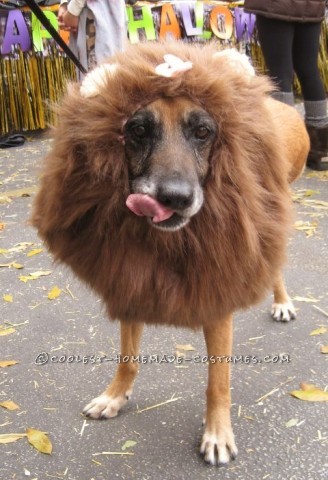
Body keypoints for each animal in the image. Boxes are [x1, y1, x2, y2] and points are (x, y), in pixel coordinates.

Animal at [31, 42, 310, 464]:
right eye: (138, 130)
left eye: (203, 131)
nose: (175, 199)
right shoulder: (130, 280)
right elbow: (128, 357)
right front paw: (115, 396)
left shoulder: (217, 296)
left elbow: (218, 381)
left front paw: (217, 433)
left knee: (272, 264)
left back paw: (282, 302)